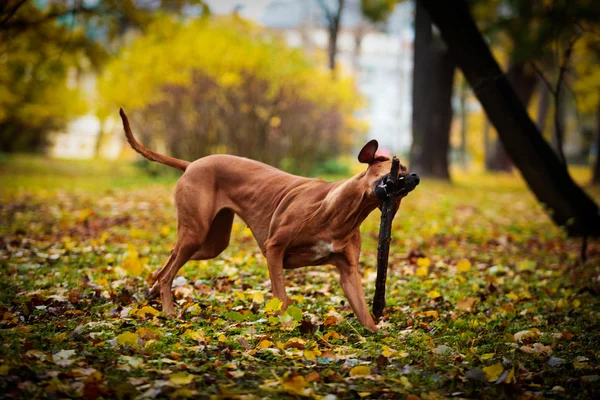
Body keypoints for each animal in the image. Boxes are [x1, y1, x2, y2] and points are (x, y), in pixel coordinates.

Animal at [117, 108, 418, 332]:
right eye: (399, 167)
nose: (415, 176)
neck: (342, 212)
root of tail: (191, 164)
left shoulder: (348, 274)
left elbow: (364, 314)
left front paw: (381, 337)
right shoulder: (274, 249)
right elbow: (282, 296)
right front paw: (286, 326)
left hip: (211, 244)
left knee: (167, 262)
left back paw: (152, 293)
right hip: (196, 233)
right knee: (169, 272)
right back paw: (168, 311)